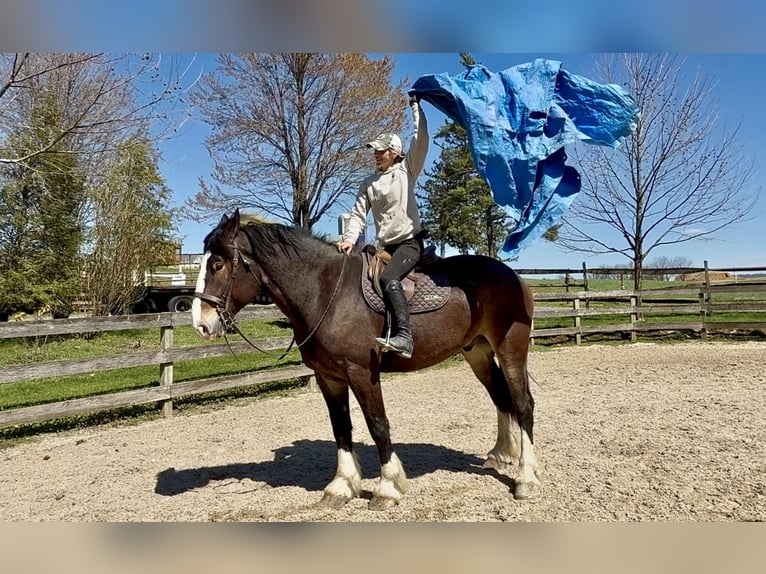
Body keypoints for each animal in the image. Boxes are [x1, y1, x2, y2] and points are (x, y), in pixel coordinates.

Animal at [191, 209, 541, 509]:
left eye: (218, 264)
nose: (200, 324)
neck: (324, 292)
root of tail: (512, 276)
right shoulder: (329, 377)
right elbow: (341, 428)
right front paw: (341, 486)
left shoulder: (361, 372)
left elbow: (377, 425)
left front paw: (387, 487)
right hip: (478, 352)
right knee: (501, 398)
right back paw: (501, 454)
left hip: (510, 348)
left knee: (523, 404)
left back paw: (526, 478)